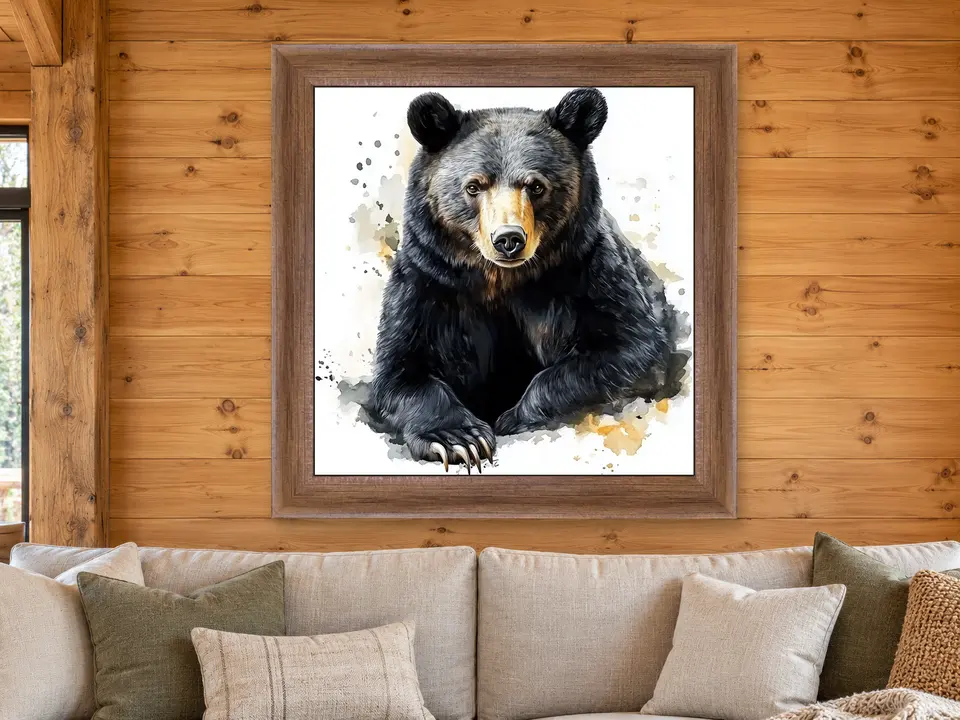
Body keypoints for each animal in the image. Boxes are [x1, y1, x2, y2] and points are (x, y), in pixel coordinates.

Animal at [365, 88, 684, 472]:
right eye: (474, 186)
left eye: (536, 185)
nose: (508, 238)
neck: (503, 279)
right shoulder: (429, 282)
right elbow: (401, 372)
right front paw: (459, 439)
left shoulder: (590, 274)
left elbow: (630, 350)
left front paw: (514, 416)